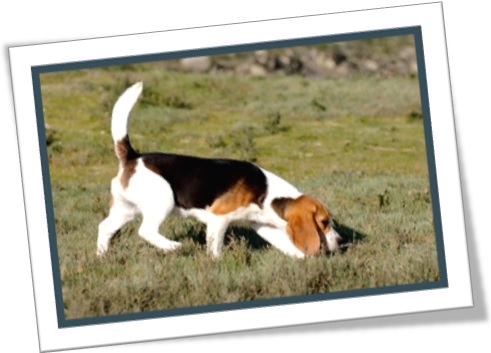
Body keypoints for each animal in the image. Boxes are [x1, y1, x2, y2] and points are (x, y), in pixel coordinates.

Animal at [97, 82, 342, 258]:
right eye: (324, 222)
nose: (341, 241)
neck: (267, 193)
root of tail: (132, 156)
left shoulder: (261, 224)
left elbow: (287, 245)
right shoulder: (218, 219)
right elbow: (215, 248)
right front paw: (216, 263)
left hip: (125, 210)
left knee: (105, 227)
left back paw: (102, 257)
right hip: (163, 199)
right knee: (146, 230)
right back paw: (172, 247)